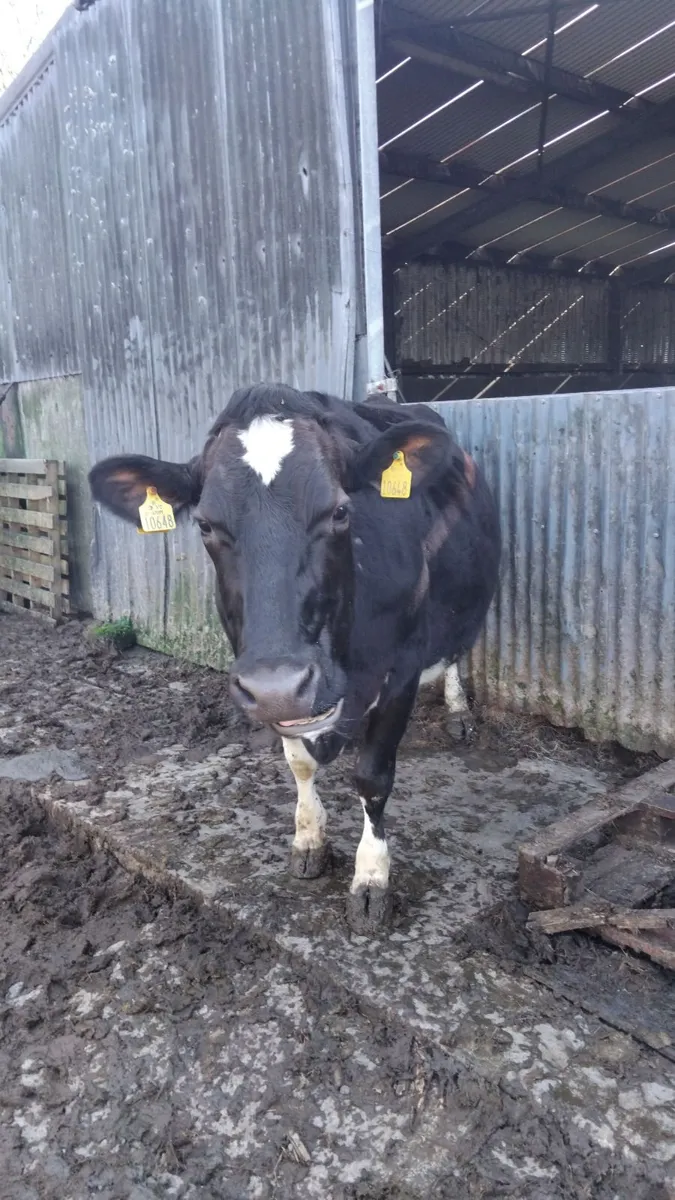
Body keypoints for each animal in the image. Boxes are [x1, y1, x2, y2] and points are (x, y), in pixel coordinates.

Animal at [89, 384, 501, 933]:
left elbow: (373, 776)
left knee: (456, 649)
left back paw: (457, 711)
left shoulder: (402, 669)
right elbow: (299, 763)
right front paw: (309, 838)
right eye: (205, 525)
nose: (279, 683)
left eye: (341, 511)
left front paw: (371, 878)